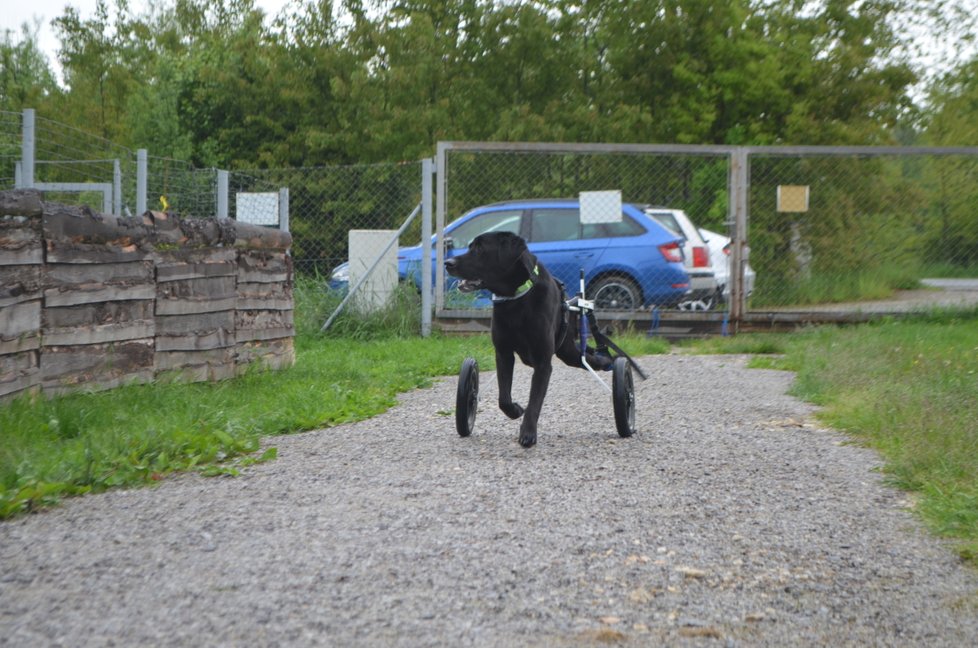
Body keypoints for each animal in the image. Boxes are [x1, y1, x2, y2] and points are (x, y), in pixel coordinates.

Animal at [444, 230, 608, 448]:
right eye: (470, 246)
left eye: (479, 248)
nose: (447, 262)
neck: (516, 300)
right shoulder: (503, 354)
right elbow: (504, 398)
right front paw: (515, 410)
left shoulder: (543, 362)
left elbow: (535, 401)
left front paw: (528, 433)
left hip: (567, 351)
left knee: (588, 358)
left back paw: (606, 361)